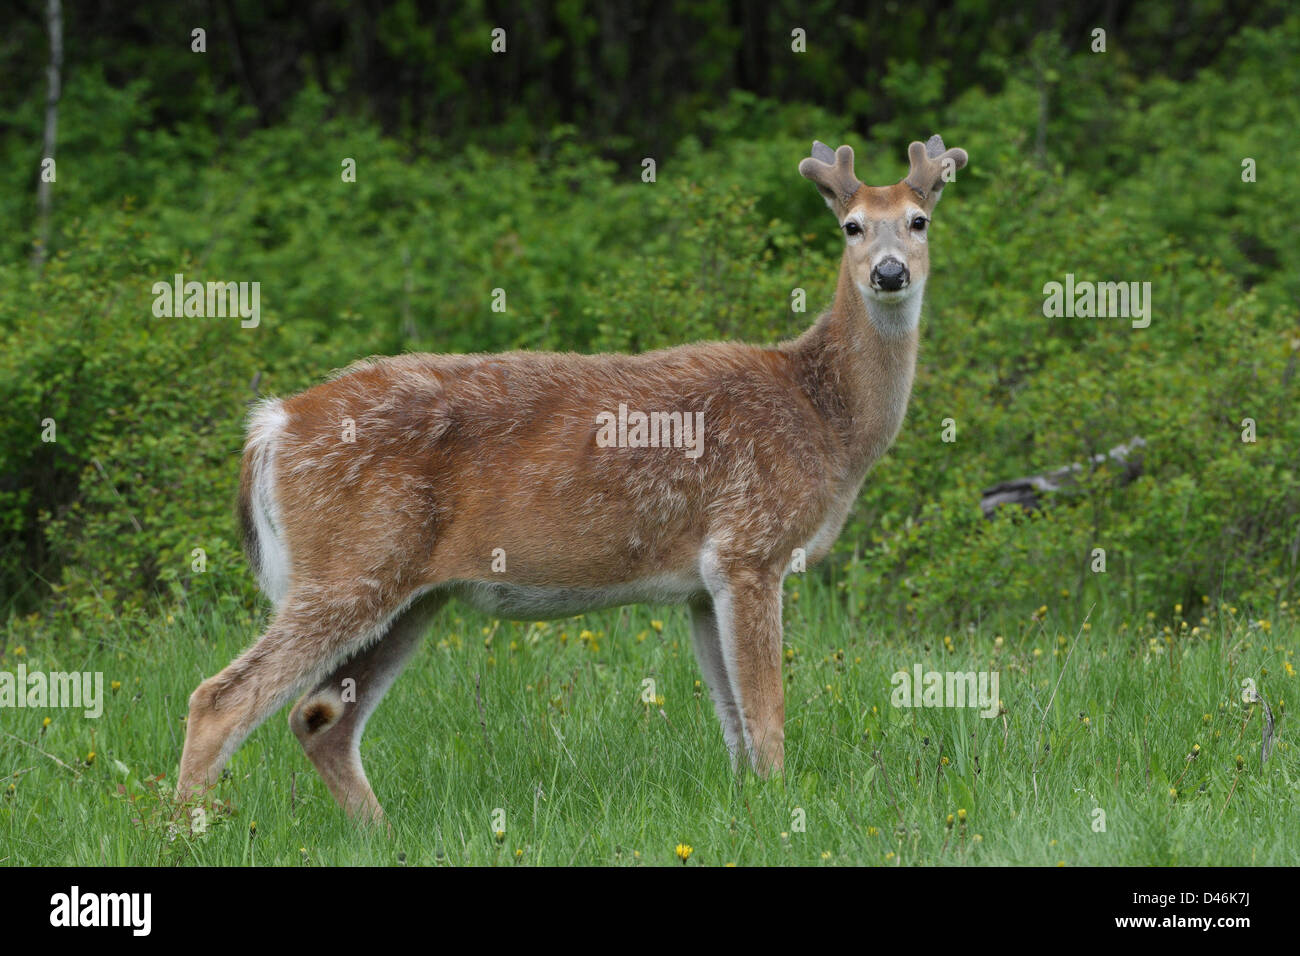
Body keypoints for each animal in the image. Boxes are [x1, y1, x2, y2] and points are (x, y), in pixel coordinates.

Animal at [174, 135, 968, 822]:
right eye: (851, 227)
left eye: (920, 220)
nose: (889, 273)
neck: (826, 419)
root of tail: (272, 427)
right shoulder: (751, 545)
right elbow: (766, 712)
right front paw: (780, 810)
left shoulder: (702, 583)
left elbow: (734, 720)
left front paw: (750, 805)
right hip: (346, 565)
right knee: (221, 698)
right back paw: (188, 830)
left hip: (409, 594)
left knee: (320, 718)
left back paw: (383, 834)